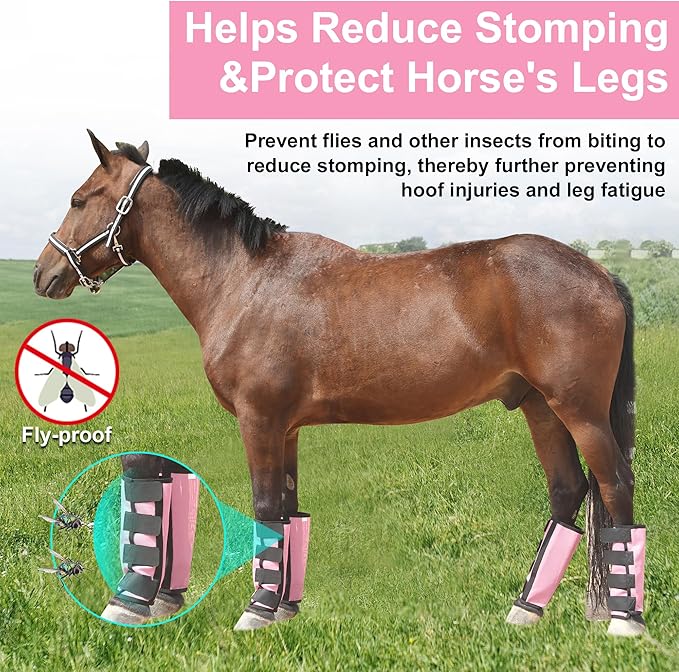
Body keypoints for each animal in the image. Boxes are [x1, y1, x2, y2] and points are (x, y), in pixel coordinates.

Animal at [34, 131, 647, 636]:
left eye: (79, 199)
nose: (44, 274)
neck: (244, 281)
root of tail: (600, 273)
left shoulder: (260, 420)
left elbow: (265, 506)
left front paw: (255, 614)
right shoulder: (286, 429)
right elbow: (288, 509)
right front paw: (282, 610)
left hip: (580, 411)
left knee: (615, 485)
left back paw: (624, 621)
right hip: (540, 407)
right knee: (568, 490)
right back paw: (525, 611)